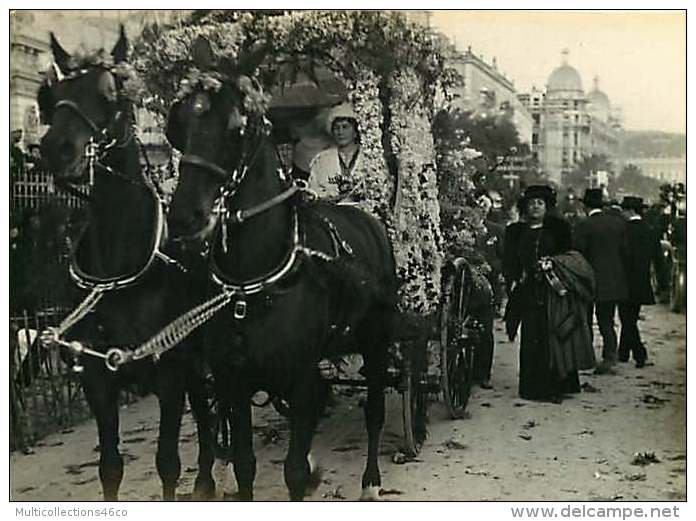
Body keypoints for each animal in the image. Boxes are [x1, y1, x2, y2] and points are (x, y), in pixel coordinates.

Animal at [37, 28, 215, 500]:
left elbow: (168, 463)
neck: (119, 271)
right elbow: (110, 468)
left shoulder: (170, 372)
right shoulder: (97, 378)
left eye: (110, 93)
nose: (57, 149)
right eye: (53, 96)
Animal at [164, 36, 396, 500]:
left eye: (239, 126)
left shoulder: (302, 380)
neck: (255, 280)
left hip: (376, 339)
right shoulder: (232, 381)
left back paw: (371, 480)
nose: (183, 216)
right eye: (178, 123)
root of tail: (364, 216)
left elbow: (293, 471)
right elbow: (245, 465)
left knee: (376, 409)